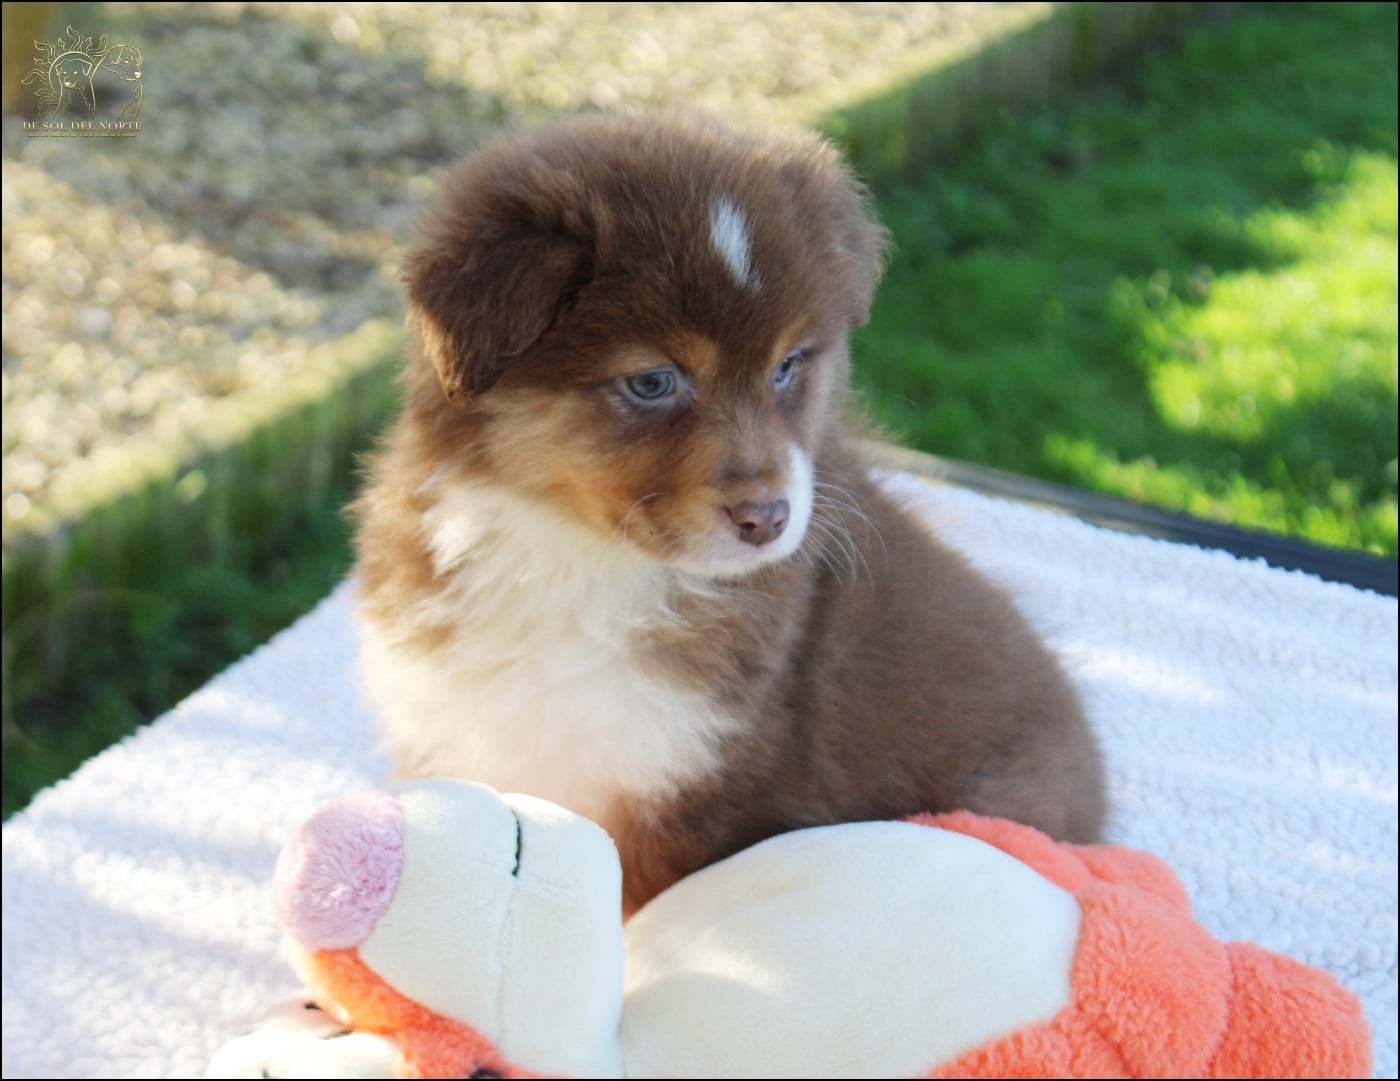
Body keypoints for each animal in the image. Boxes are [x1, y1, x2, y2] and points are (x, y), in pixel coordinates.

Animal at [352, 112, 1106, 913]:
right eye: (653, 381)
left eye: (789, 365)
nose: (768, 518)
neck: (571, 554)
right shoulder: (445, 726)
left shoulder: (680, 782)